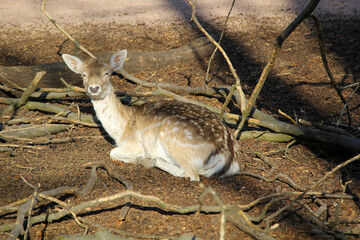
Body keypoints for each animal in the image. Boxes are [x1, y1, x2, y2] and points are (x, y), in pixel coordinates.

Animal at [63, 50, 240, 180]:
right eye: (83, 75)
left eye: (107, 73)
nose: (94, 88)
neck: (121, 129)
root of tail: (226, 154)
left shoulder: (133, 144)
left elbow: (112, 152)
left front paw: (138, 158)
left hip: (174, 138)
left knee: (191, 174)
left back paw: (149, 160)